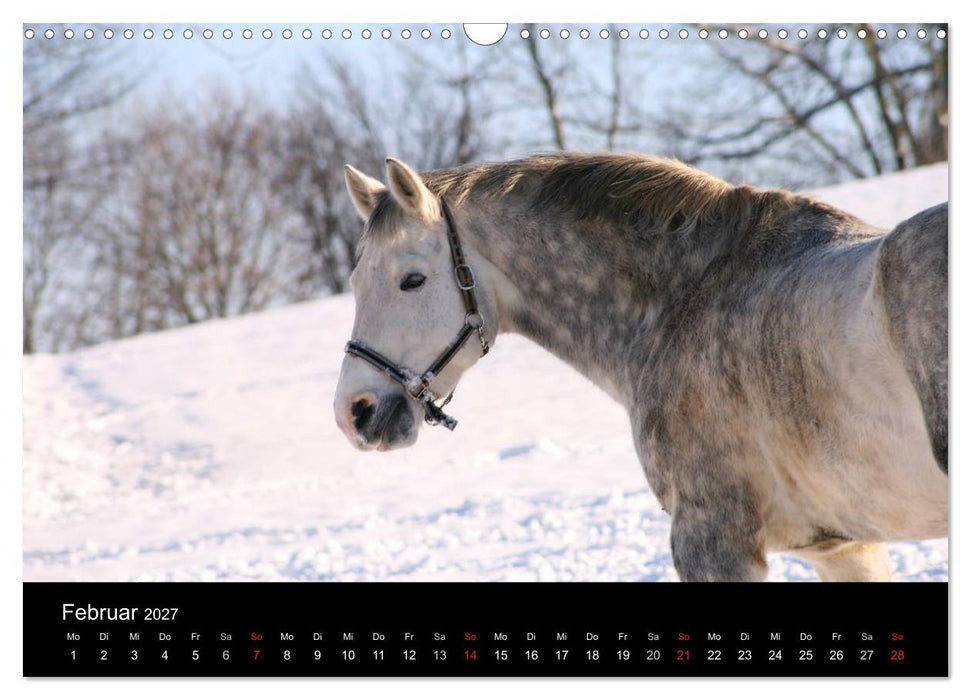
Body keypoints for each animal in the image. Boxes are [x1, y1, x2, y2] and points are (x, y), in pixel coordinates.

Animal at [333, 153, 948, 582]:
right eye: (355, 281)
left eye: (412, 280)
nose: (353, 413)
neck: (685, 296)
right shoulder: (843, 546)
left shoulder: (713, 542)